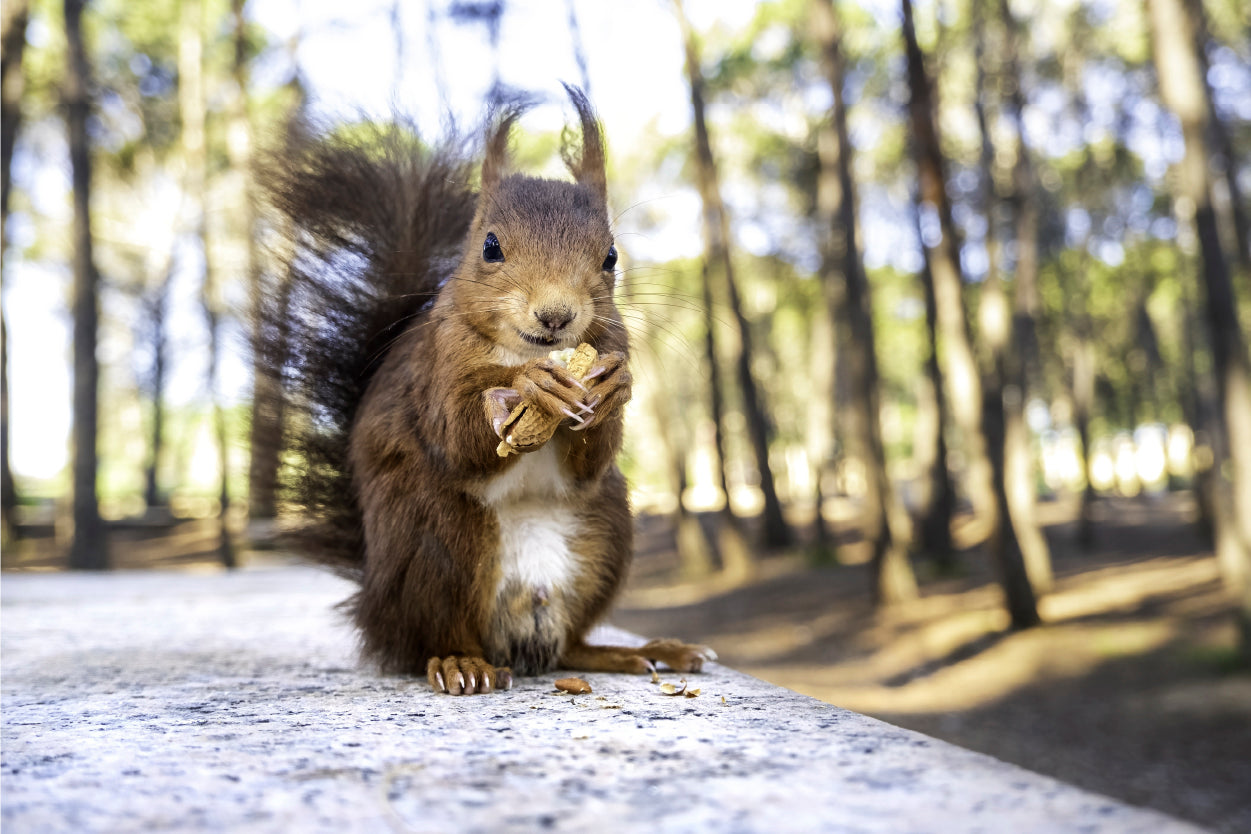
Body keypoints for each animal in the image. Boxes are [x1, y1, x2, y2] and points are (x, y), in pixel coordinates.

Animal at [256, 86, 712, 694]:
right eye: (490, 247)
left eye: (611, 256)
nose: (556, 314)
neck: (524, 349)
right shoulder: (436, 367)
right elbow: (456, 431)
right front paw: (522, 389)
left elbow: (589, 461)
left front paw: (614, 386)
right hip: (438, 540)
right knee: (437, 634)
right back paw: (460, 662)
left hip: (607, 533)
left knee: (570, 645)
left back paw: (636, 651)